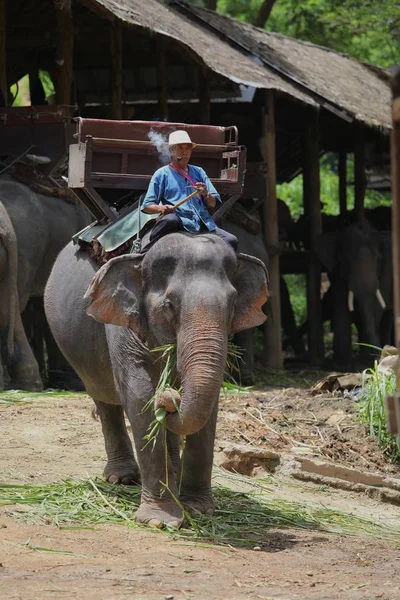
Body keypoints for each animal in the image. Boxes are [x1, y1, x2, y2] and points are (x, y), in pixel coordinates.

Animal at [43, 232, 268, 528]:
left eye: (232, 304)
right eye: (169, 306)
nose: (170, 399)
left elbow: (209, 405)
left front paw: (197, 510)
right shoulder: (121, 322)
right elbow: (139, 395)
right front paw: (159, 520)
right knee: (104, 399)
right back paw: (122, 477)